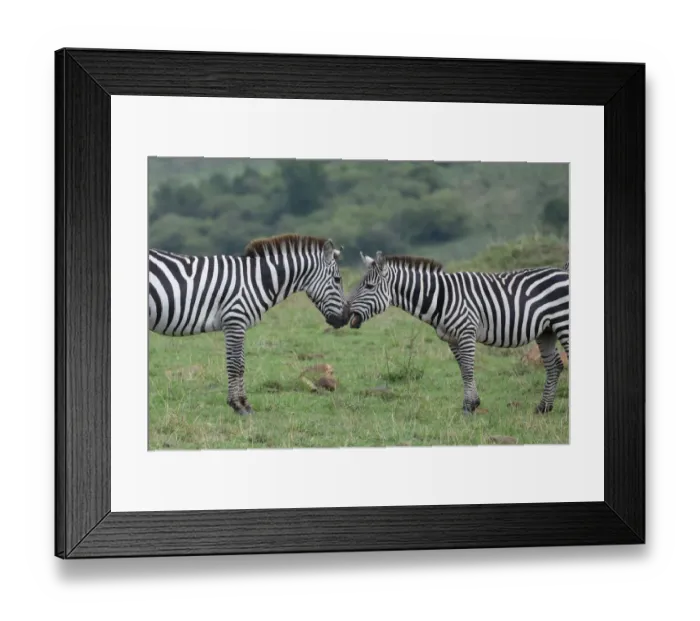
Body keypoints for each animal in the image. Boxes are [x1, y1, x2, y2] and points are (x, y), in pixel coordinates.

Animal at [148, 234, 350, 415]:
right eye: (337, 279)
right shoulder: (235, 321)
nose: (346, 318)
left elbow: (240, 364)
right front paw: (240, 405)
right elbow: (236, 365)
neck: (257, 281)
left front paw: (240, 403)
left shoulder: (235, 325)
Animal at [346, 251, 569, 416]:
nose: (346, 313)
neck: (442, 297)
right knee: (555, 366)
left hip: (564, 323)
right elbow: (463, 370)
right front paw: (471, 403)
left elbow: (469, 370)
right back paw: (543, 408)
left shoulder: (466, 332)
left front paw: (470, 406)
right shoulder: (451, 339)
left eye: (369, 286)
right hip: (546, 331)